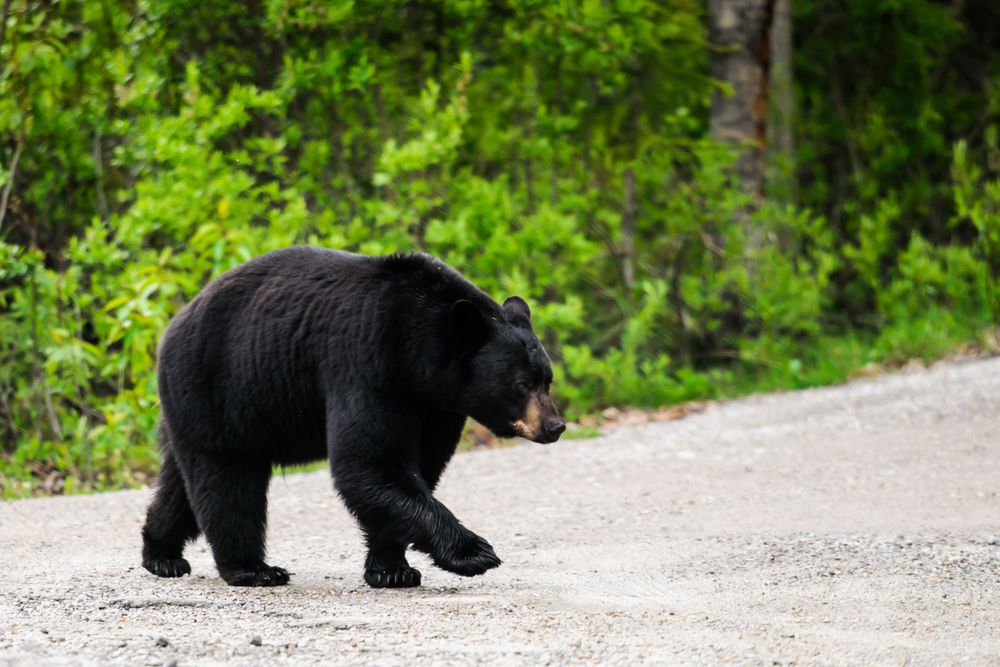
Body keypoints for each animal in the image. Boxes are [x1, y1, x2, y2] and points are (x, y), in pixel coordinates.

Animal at [141, 246, 565, 588]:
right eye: (522, 383)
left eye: (548, 379)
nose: (555, 426)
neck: (417, 350)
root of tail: (174, 323)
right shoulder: (368, 363)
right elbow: (370, 463)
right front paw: (474, 552)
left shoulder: (437, 405)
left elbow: (415, 468)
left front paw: (391, 569)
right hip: (218, 387)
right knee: (227, 479)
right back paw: (253, 569)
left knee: (182, 481)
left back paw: (161, 555)